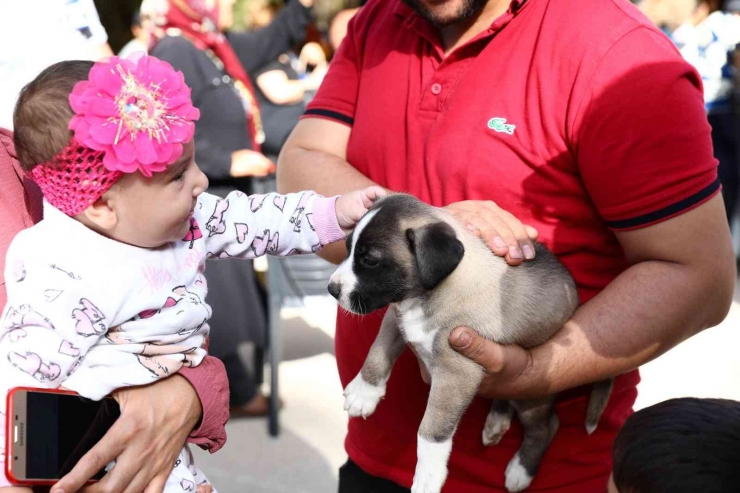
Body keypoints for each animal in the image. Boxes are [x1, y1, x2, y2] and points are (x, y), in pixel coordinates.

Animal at [330, 195, 612, 492]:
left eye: (370, 260)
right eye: (348, 249)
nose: (331, 289)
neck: (429, 295)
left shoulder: (456, 373)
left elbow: (431, 430)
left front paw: (428, 476)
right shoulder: (396, 317)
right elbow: (378, 350)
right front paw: (364, 392)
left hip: (533, 396)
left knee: (546, 427)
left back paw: (521, 469)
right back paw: (496, 421)